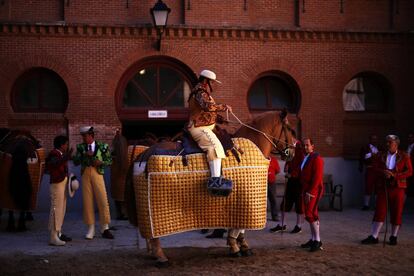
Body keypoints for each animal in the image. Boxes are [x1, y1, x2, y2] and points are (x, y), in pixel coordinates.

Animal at [123, 110, 294, 268]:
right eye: (290, 129)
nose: (292, 152)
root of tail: (141, 156)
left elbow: (241, 228)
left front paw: (242, 246)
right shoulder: (246, 200)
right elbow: (239, 228)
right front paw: (235, 247)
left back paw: (153, 254)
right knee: (154, 235)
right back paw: (161, 257)